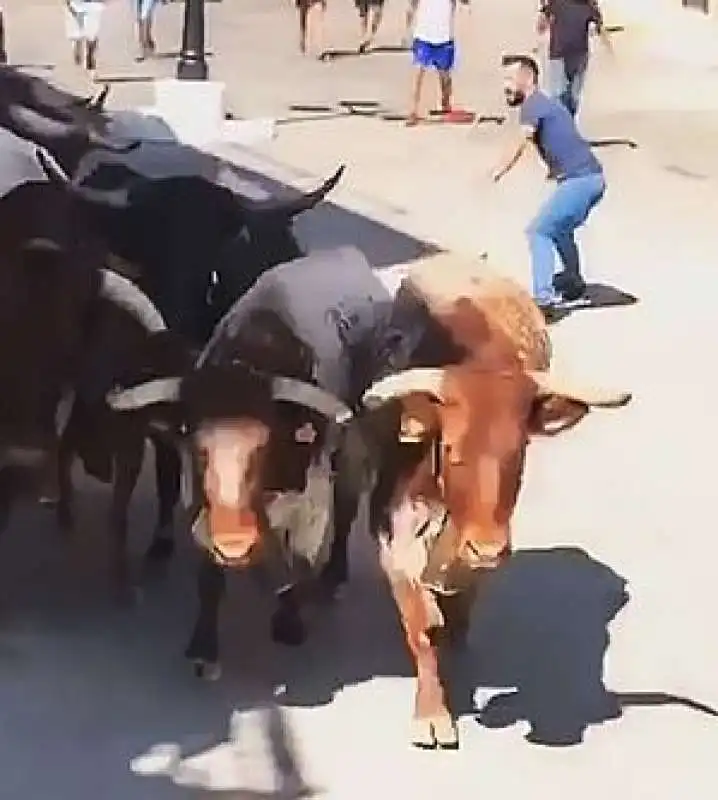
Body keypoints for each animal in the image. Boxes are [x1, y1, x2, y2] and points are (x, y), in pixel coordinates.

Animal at [362, 255, 632, 752]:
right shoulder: (394, 533)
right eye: (451, 450)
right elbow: (420, 627)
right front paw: (432, 711)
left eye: (519, 451)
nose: (487, 548)